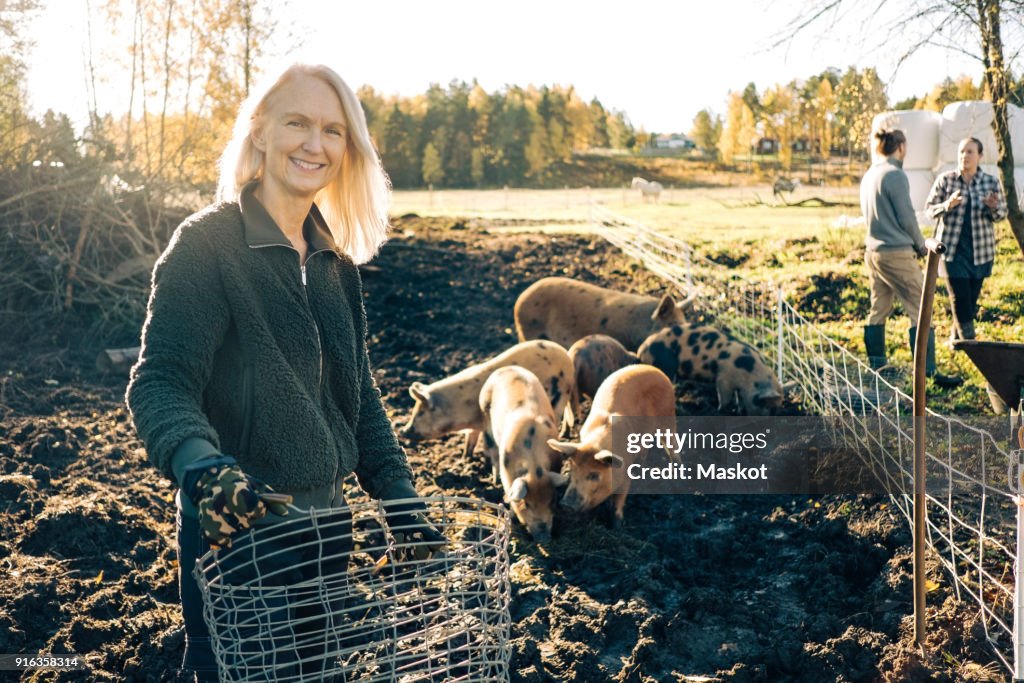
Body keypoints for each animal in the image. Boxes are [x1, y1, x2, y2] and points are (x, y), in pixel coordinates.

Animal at [401, 342, 577, 458]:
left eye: (421, 413)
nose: (403, 431)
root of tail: (567, 358)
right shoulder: (473, 426)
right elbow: (470, 441)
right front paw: (465, 459)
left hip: (560, 395)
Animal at [548, 366, 675, 528]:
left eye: (594, 475)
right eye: (572, 471)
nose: (566, 504)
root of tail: (657, 371)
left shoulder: (625, 476)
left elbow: (619, 500)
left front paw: (617, 525)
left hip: (668, 418)